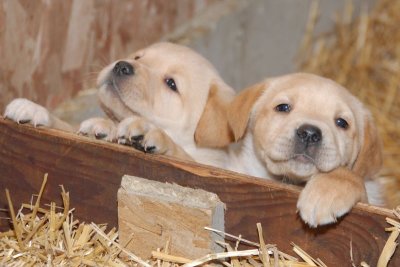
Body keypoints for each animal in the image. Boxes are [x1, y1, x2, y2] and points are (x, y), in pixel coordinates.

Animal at [3, 43, 234, 166]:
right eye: (138, 57)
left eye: (171, 84)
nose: (122, 66)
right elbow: (68, 128)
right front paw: (34, 109)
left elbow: (182, 154)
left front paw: (148, 132)